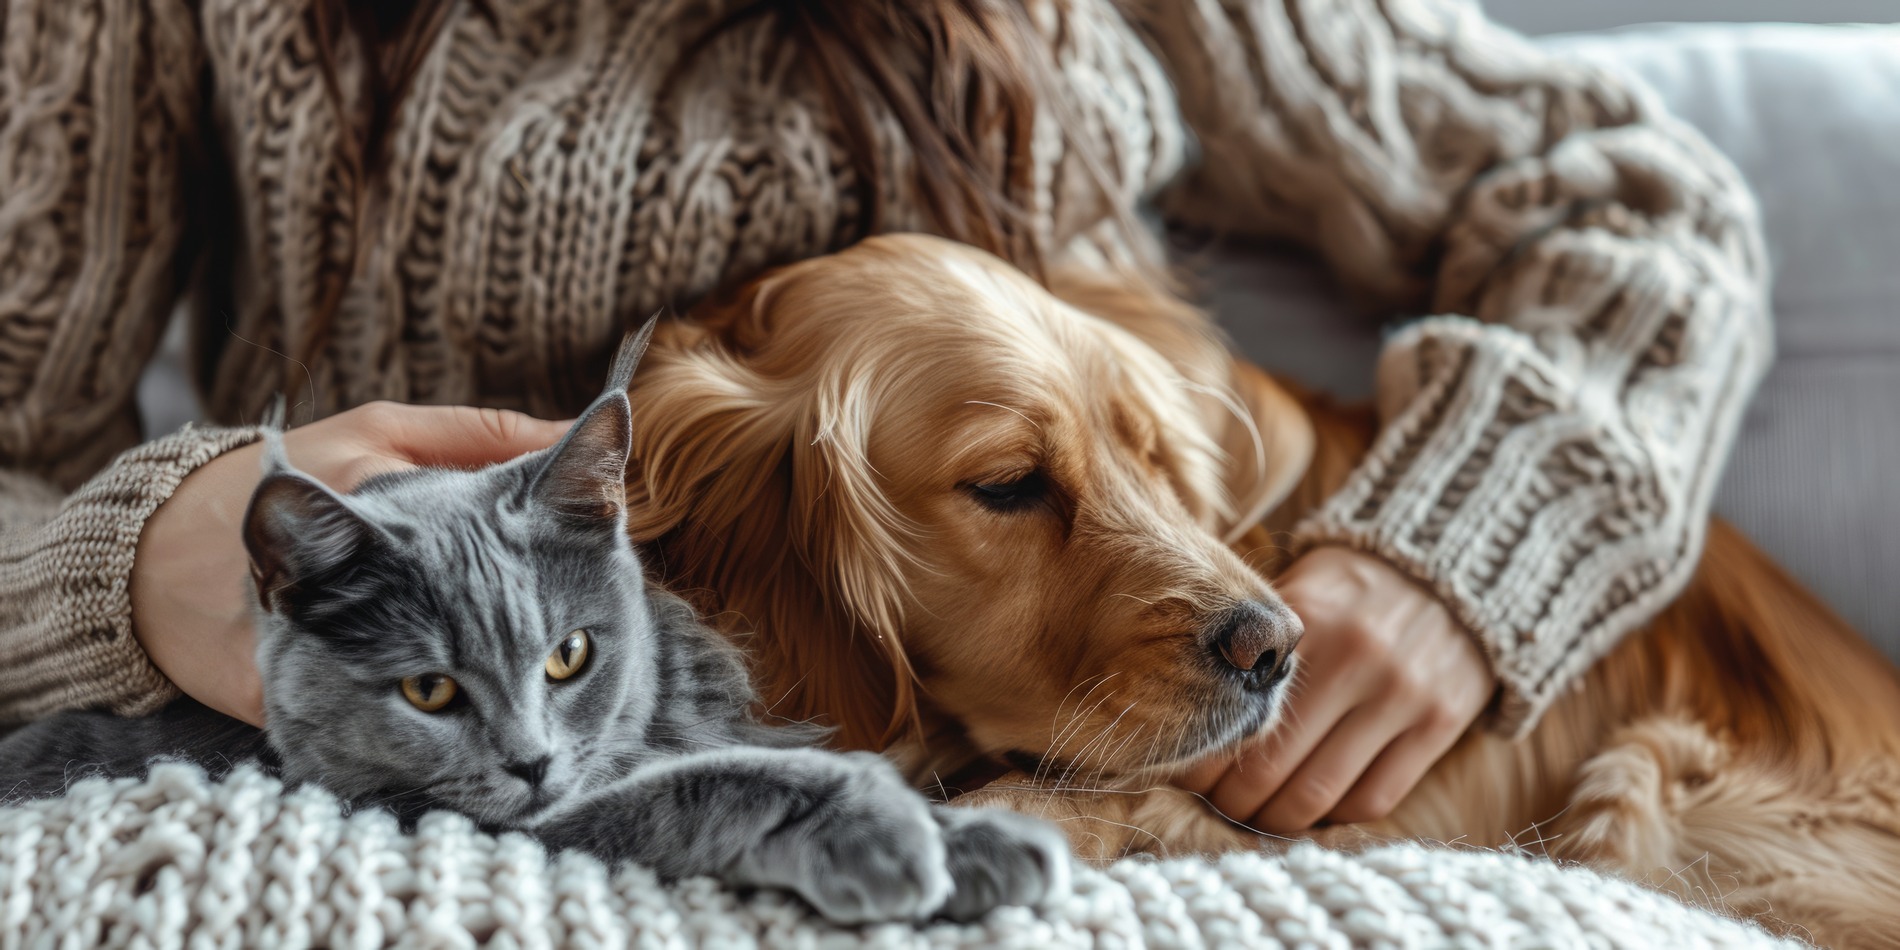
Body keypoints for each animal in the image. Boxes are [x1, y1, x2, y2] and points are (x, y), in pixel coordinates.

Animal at [0, 323, 1071, 923]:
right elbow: (714, 783)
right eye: (429, 689)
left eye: (570, 656)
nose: (531, 762)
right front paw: (889, 839)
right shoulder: (461, 814)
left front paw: (979, 838)